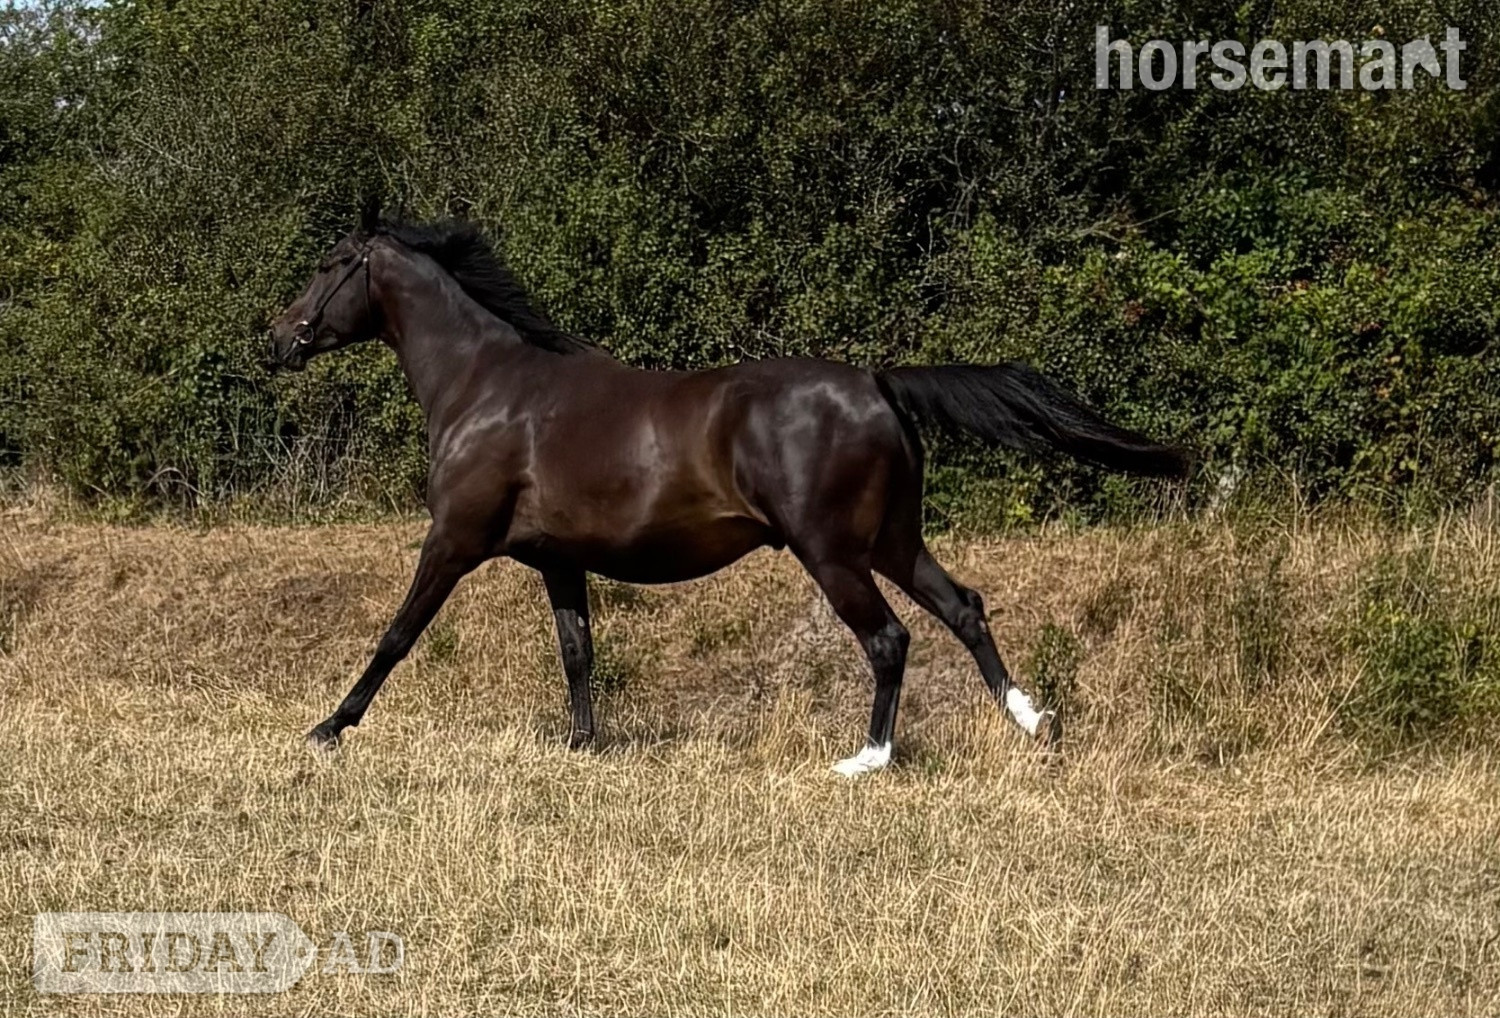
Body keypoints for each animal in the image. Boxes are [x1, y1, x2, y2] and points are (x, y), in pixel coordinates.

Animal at [268, 207, 1190, 776]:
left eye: (327, 265)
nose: (277, 340)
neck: (484, 385)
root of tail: (877, 382)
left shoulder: (454, 540)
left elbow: (396, 635)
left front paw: (327, 727)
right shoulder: (559, 560)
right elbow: (578, 652)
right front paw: (582, 745)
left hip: (832, 551)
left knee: (889, 638)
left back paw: (868, 759)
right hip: (892, 540)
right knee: (963, 608)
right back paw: (1033, 722)